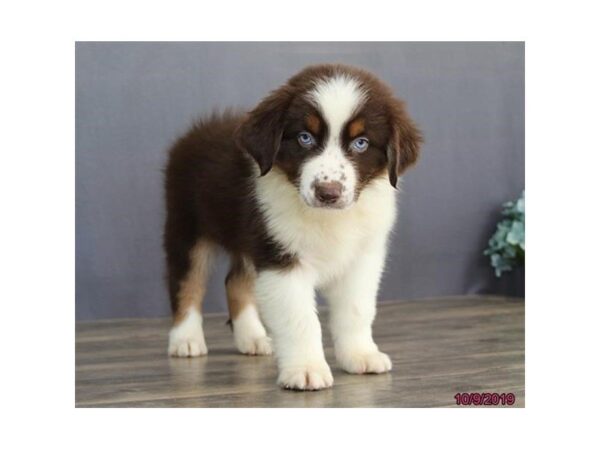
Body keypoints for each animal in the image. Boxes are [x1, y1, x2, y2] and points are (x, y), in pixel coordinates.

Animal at [162, 63, 420, 390]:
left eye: (361, 143)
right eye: (305, 138)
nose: (328, 193)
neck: (327, 218)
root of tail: (195, 132)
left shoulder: (361, 258)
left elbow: (357, 309)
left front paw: (360, 355)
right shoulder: (281, 259)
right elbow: (300, 320)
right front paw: (306, 370)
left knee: (235, 281)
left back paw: (253, 338)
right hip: (188, 225)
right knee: (186, 281)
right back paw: (185, 339)